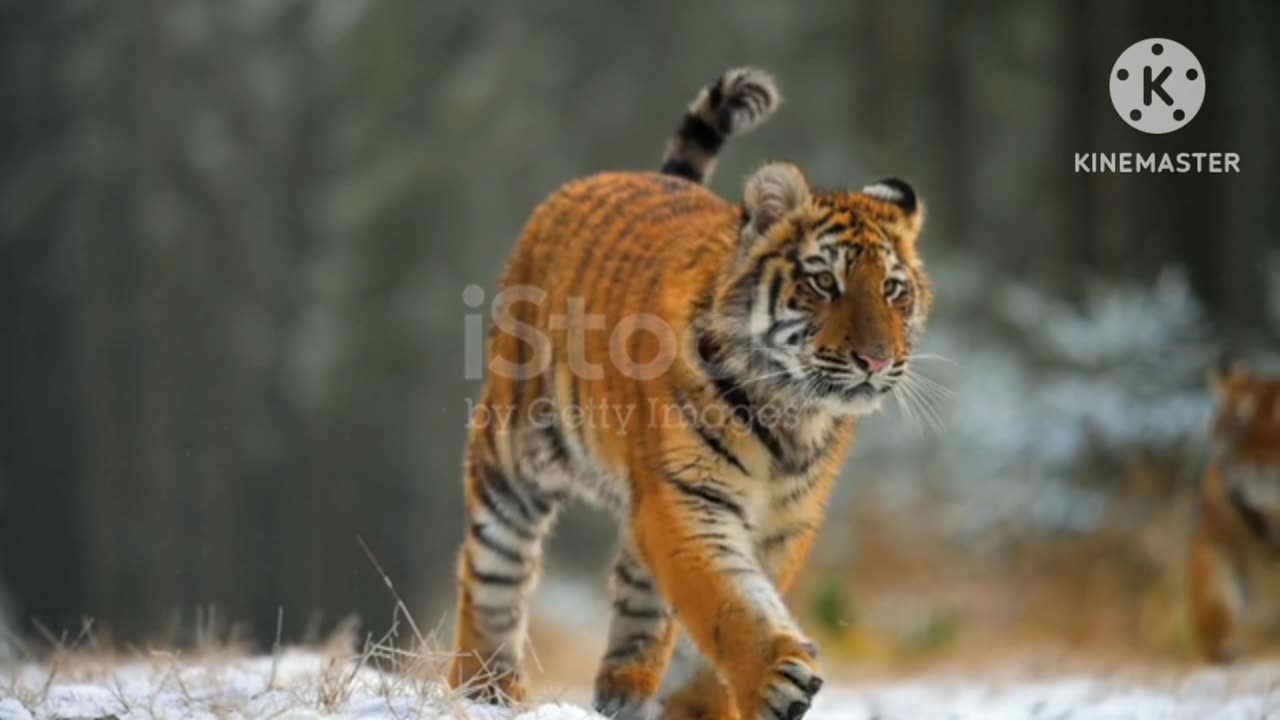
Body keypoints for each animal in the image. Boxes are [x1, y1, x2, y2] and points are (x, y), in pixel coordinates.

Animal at [450, 67, 931, 717]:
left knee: (639, 596)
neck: (793, 414)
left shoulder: (784, 521)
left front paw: (706, 706)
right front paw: (775, 678)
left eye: (893, 290)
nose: (876, 360)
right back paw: (486, 687)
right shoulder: (689, 496)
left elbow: (727, 609)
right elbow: (725, 599)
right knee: (494, 567)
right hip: (514, 453)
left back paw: (626, 688)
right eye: (824, 282)